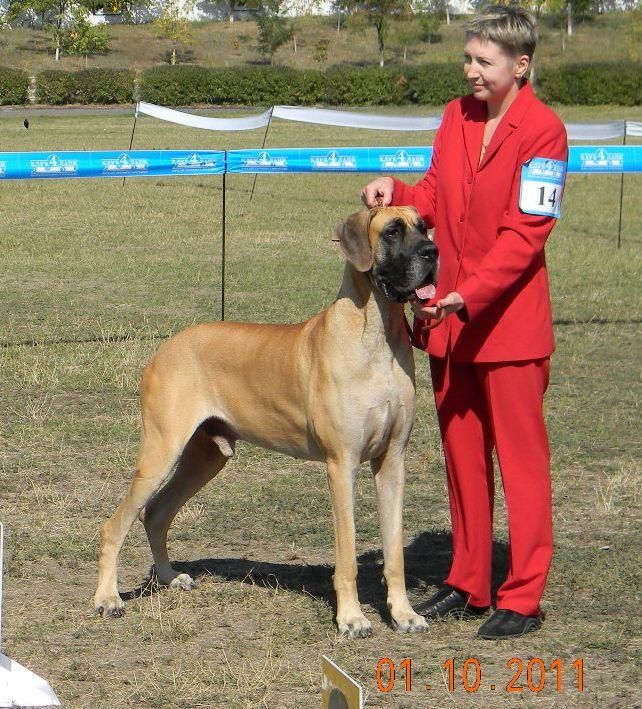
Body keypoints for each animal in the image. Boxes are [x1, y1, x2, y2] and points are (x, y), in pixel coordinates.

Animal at [93, 206, 438, 639]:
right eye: (392, 231)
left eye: (424, 227)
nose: (433, 253)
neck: (376, 334)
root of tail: (166, 346)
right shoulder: (341, 464)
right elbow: (347, 555)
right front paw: (351, 618)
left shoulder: (392, 462)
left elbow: (395, 552)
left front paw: (404, 614)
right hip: (162, 448)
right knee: (115, 524)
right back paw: (108, 598)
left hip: (205, 457)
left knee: (155, 513)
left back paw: (170, 577)